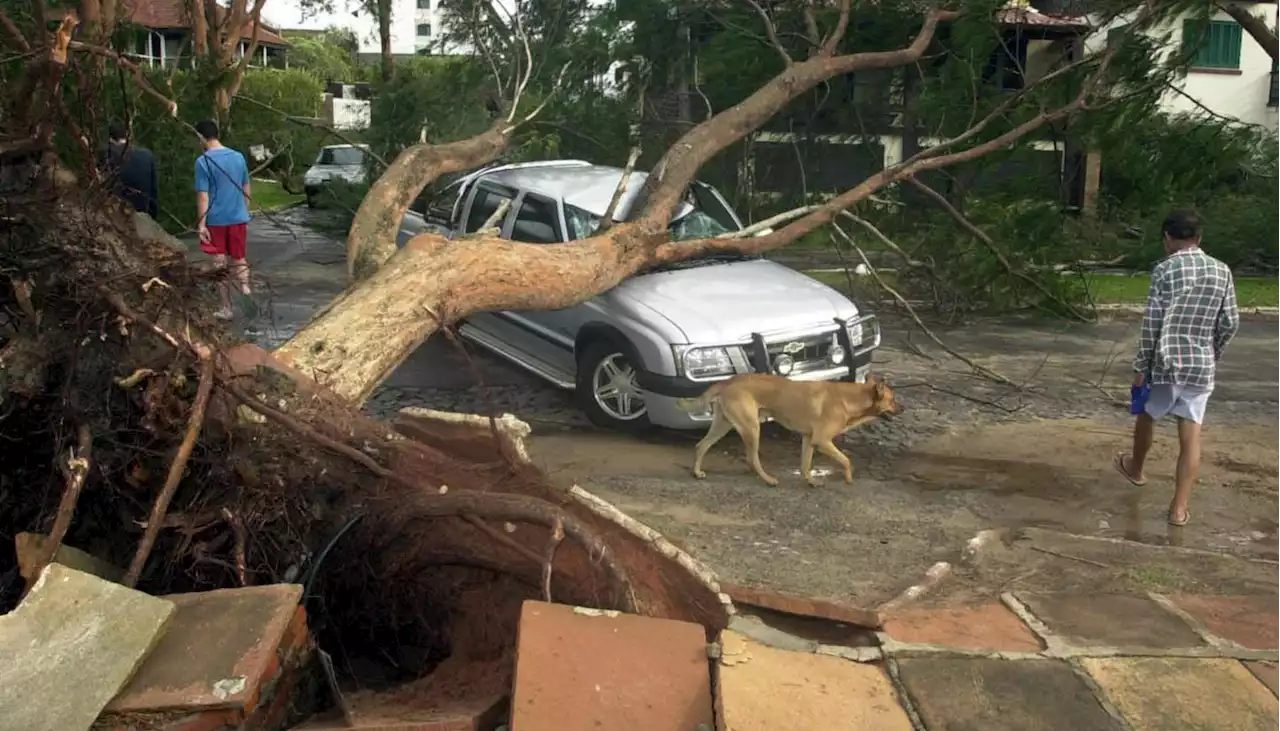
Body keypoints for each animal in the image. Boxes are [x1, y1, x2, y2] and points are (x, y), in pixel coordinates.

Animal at [680, 373, 901, 489]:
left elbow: (806, 464)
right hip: (752, 427)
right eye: (893, 400)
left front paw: (810, 481)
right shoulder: (822, 440)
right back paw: (768, 479)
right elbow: (846, 460)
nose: (904, 408)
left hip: (723, 425)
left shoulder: (809, 439)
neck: (850, 399)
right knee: (752, 458)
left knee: (701, 445)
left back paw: (697, 472)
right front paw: (848, 478)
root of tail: (729, 380)